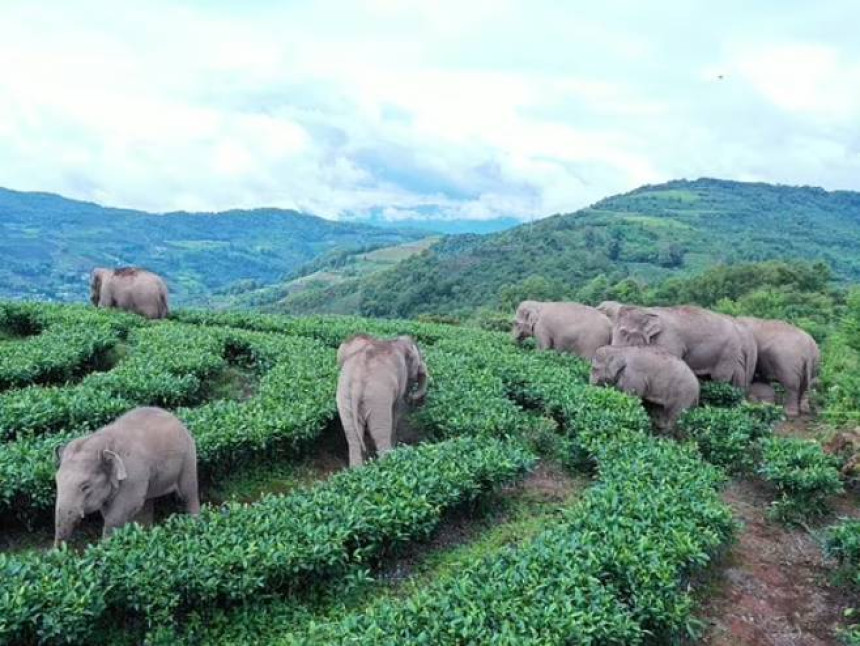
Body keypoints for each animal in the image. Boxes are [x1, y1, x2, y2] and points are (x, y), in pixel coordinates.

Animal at [54, 410, 199, 548]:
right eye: (56, 482)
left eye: (85, 486)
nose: (60, 551)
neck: (103, 442)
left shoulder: (133, 474)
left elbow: (122, 510)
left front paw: (106, 546)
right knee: (146, 502)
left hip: (188, 458)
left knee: (188, 493)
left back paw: (195, 521)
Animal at [336, 336, 430, 468]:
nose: (412, 397)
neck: (396, 341)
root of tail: (357, 382)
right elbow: (396, 409)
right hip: (377, 397)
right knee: (380, 433)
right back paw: (389, 461)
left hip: (344, 395)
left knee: (352, 435)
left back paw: (357, 469)